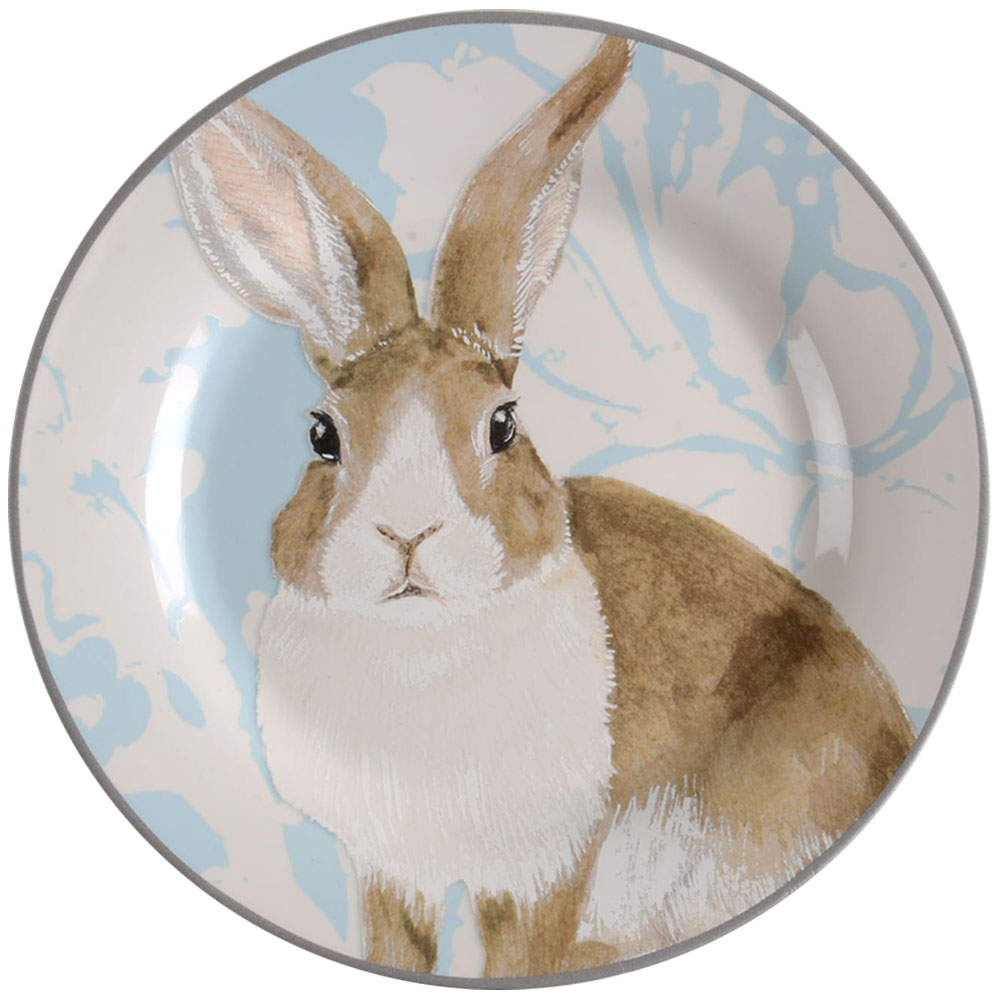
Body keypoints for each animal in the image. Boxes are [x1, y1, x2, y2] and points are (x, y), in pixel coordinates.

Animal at [170, 34, 915, 979]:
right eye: (321, 435)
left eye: (503, 424)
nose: (407, 534)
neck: (424, 646)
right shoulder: (391, 870)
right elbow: (396, 946)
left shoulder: (547, 869)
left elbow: (526, 957)